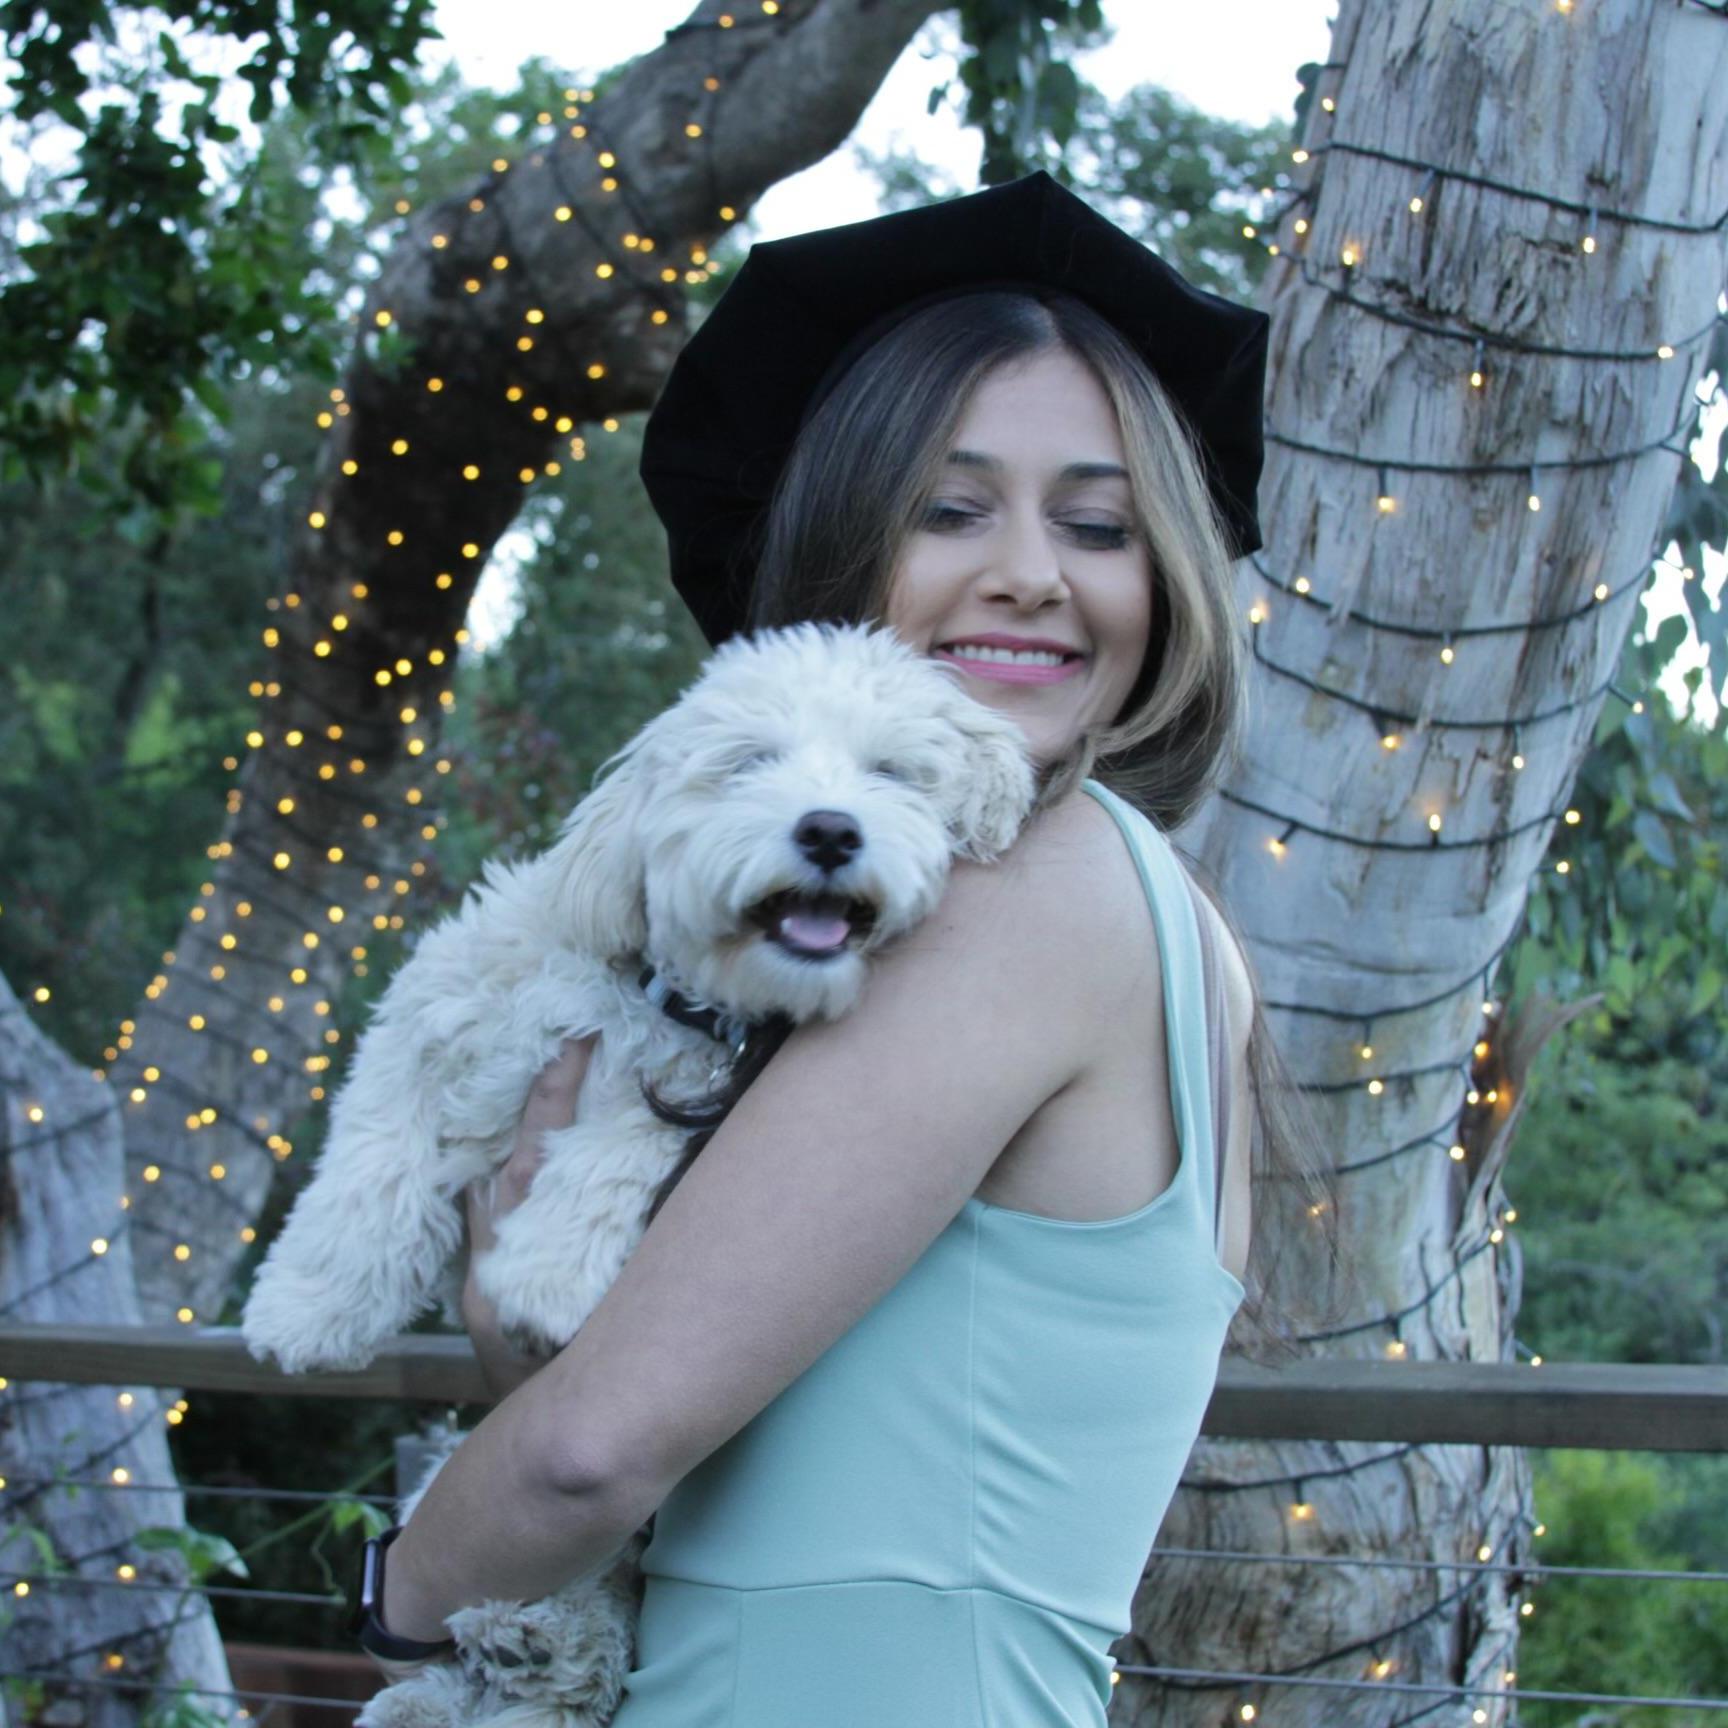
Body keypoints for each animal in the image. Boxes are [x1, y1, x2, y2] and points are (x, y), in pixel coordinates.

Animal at [240, 620, 1036, 1728]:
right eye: (748, 763)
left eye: (891, 774)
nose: (832, 830)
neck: (670, 997)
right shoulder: (438, 1009)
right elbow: (372, 1157)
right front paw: (308, 1310)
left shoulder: (693, 1095)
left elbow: (616, 1148)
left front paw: (544, 1280)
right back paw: (464, 1674)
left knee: (583, 1639)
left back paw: (536, 1646)